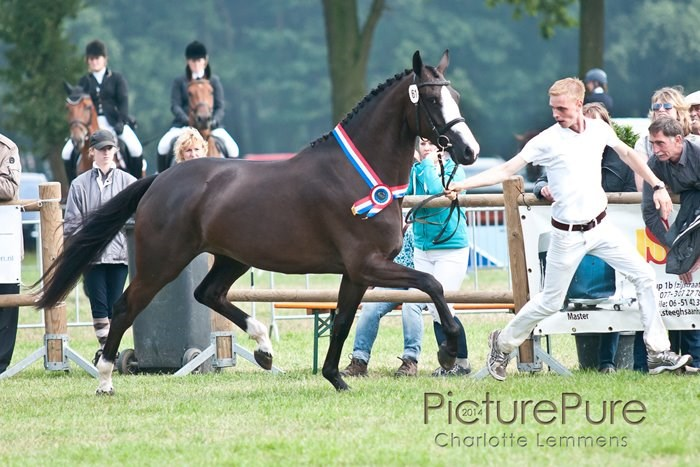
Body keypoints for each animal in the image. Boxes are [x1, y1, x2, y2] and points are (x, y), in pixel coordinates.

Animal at [35, 51, 478, 394]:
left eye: (455, 95)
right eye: (433, 99)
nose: (469, 151)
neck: (358, 175)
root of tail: (159, 180)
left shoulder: (356, 273)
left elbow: (341, 322)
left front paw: (335, 378)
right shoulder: (368, 265)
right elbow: (432, 285)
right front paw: (448, 350)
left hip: (233, 258)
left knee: (208, 293)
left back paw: (264, 349)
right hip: (163, 261)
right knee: (126, 306)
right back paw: (105, 378)